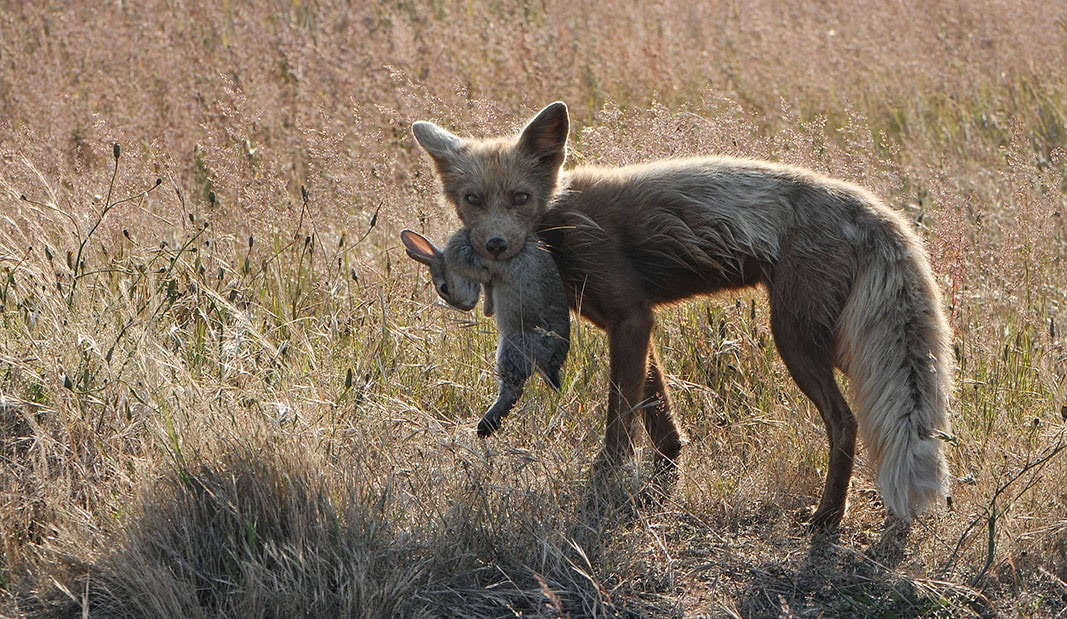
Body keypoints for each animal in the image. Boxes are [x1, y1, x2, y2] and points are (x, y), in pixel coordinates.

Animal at [411, 101, 956, 527]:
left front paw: (602, 489)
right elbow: (658, 418)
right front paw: (660, 482)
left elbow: (619, 423)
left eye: (520, 198)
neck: (562, 222)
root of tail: (874, 207)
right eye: (472, 200)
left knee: (846, 422)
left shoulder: (630, 318)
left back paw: (826, 519)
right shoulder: (628, 323)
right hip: (833, 341)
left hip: (799, 340)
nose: (496, 246)